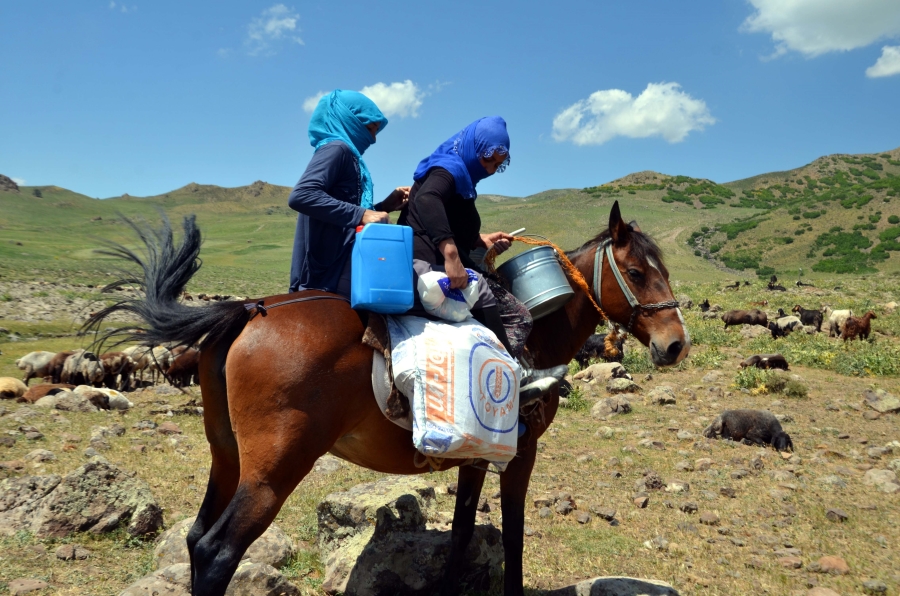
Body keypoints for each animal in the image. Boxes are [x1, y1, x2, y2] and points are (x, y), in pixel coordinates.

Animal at [86, 201, 688, 596]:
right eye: (637, 272)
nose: (675, 344)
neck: (537, 334)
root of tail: (251, 310)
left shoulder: (476, 454)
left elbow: (463, 531)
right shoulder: (520, 453)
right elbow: (514, 537)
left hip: (227, 456)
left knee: (194, 538)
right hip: (275, 467)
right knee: (217, 552)